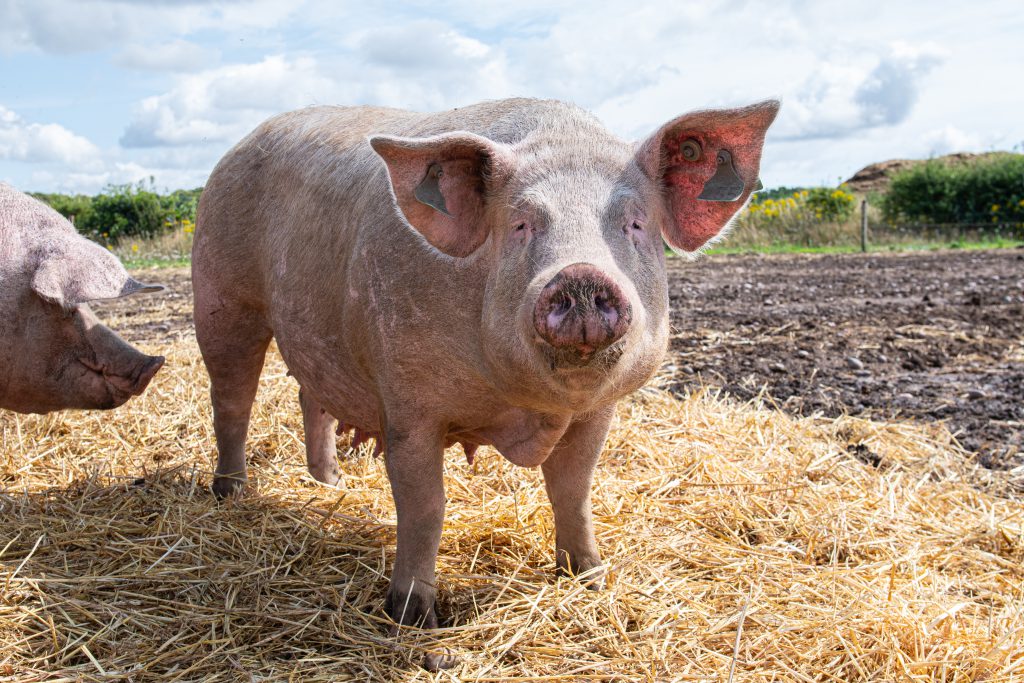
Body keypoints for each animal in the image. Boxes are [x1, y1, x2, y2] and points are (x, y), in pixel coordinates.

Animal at [193, 97, 774, 667]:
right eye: (520, 225)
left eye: (634, 223)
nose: (581, 275)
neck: (528, 408)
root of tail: (236, 149)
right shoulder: (409, 401)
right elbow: (425, 506)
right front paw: (414, 619)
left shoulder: (598, 411)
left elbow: (574, 488)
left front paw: (589, 578)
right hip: (221, 296)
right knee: (232, 398)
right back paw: (230, 494)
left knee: (308, 394)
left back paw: (330, 484)